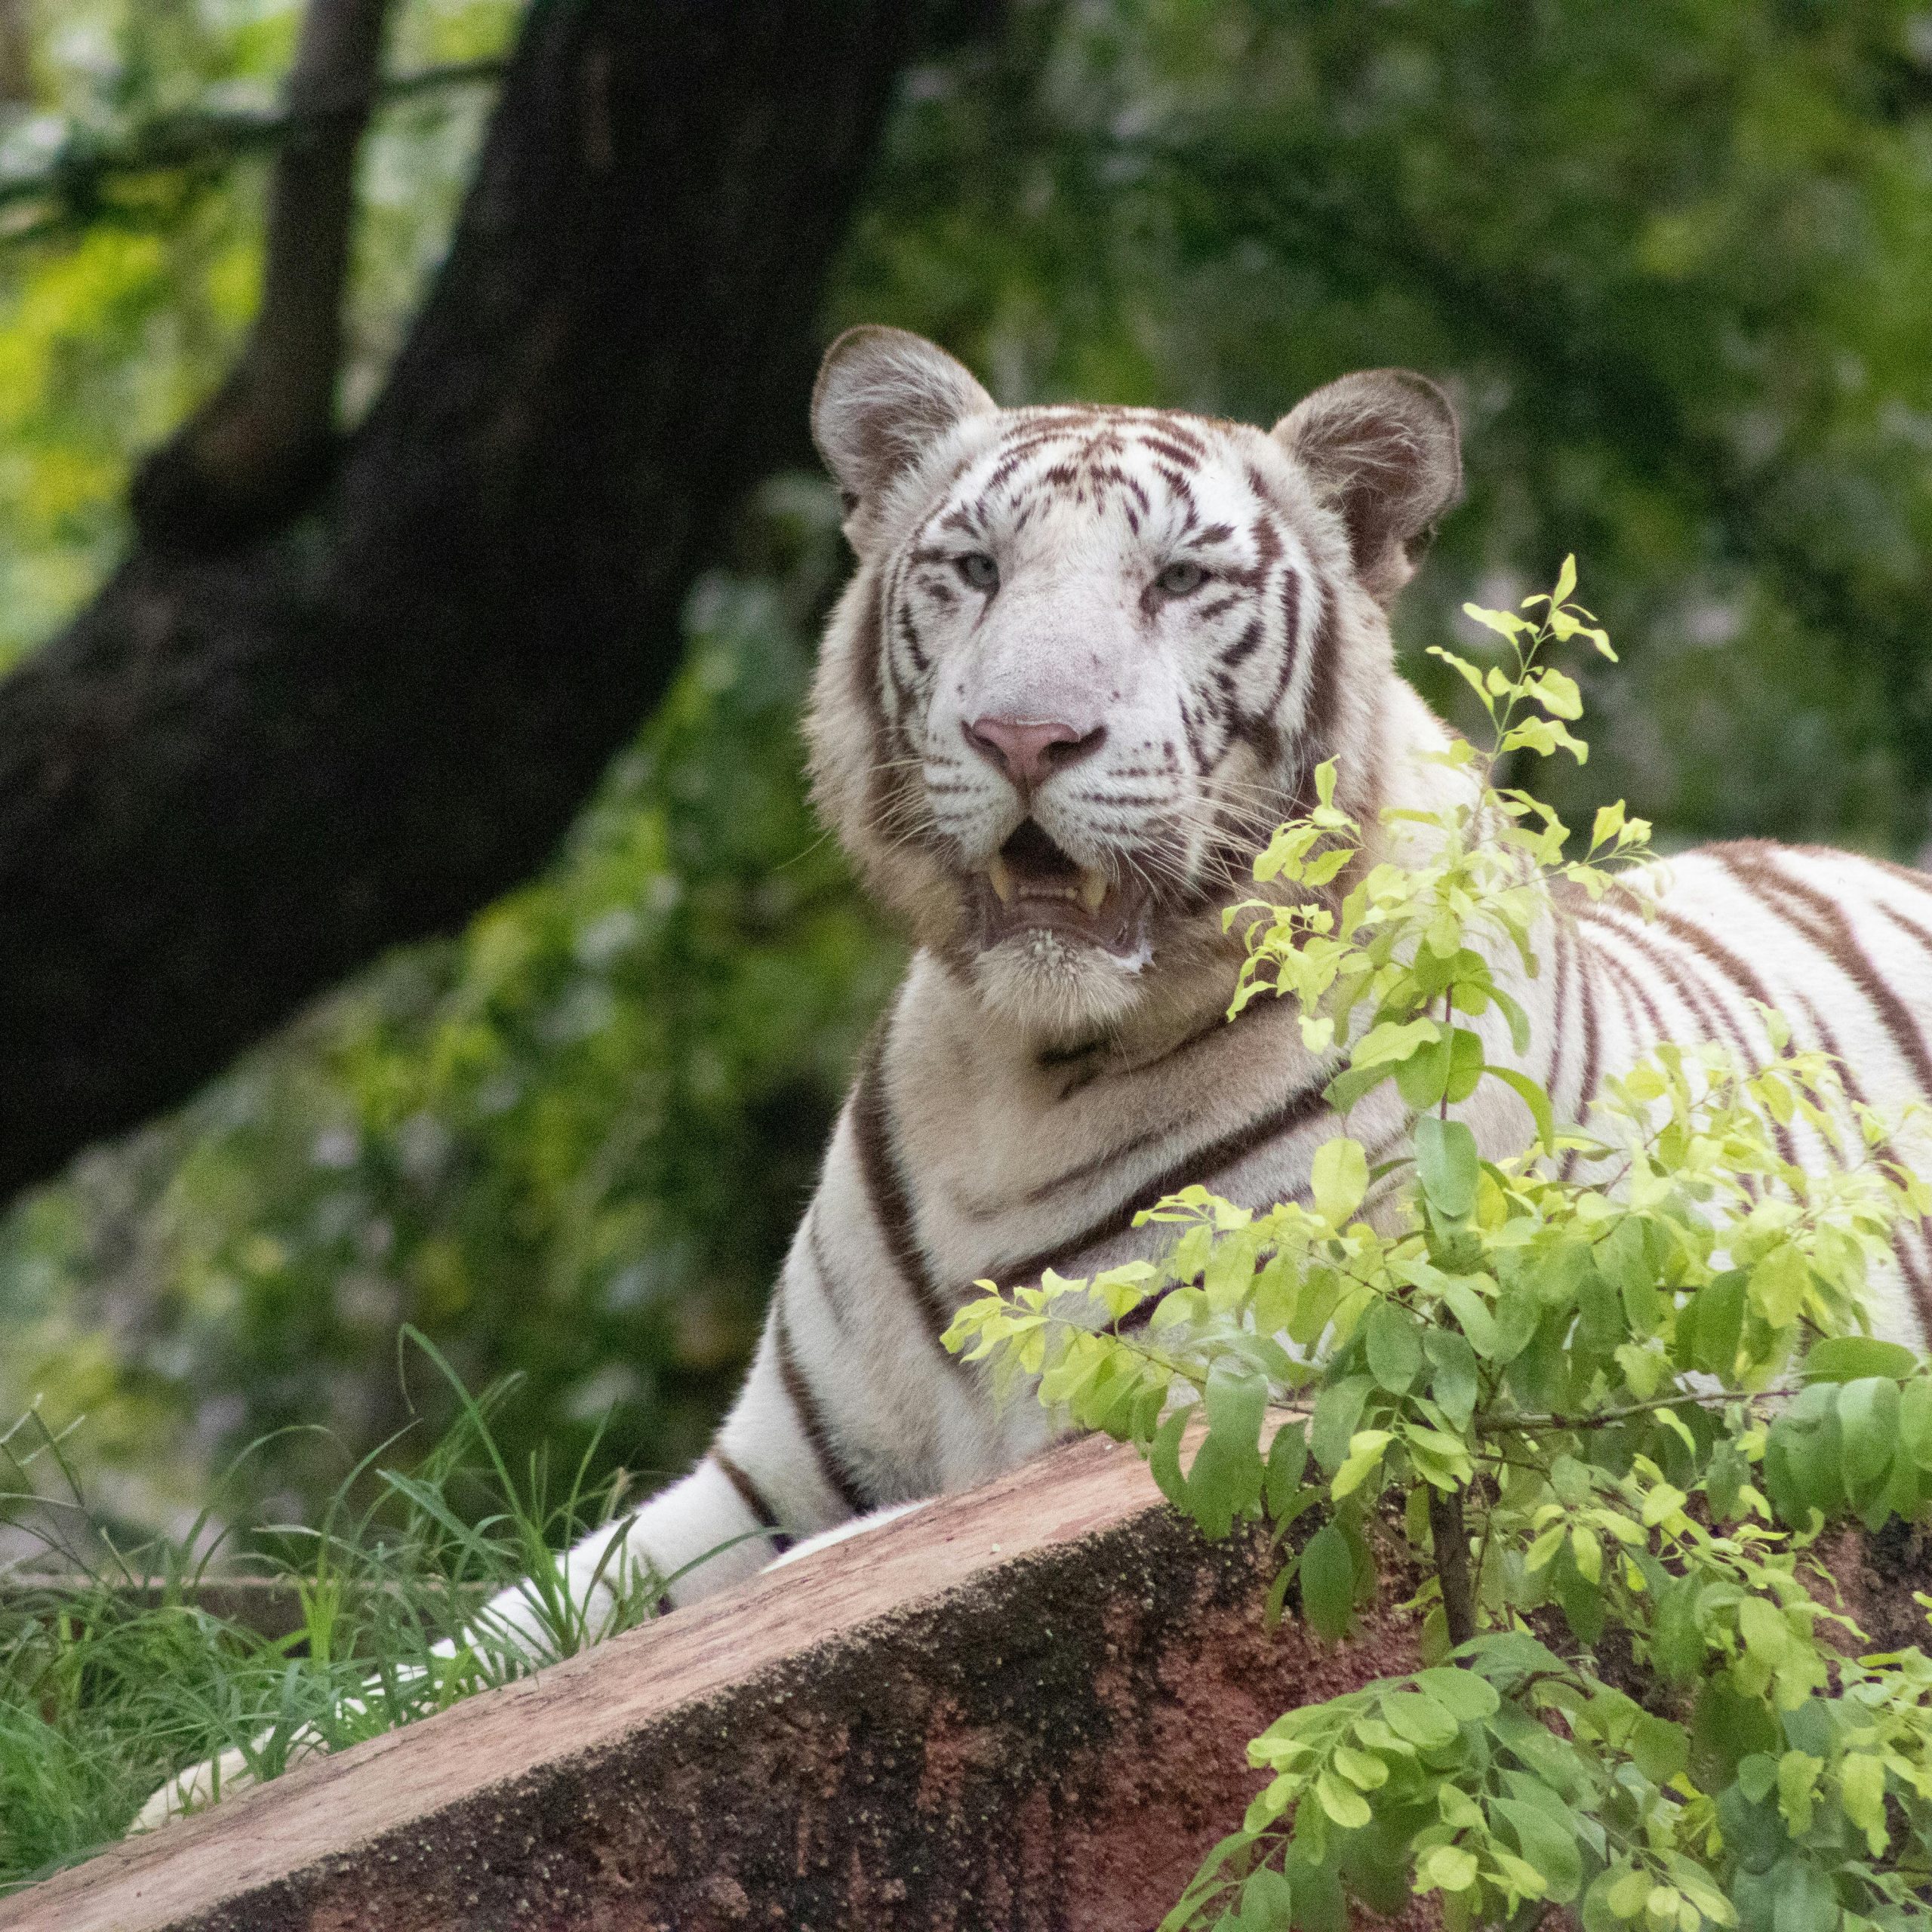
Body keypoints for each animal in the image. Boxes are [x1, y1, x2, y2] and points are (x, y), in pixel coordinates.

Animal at [140, 325, 1932, 1816]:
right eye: (974, 568)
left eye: (1180, 579)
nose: (1022, 737)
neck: (1016, 1069)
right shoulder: (770, 1470)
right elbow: (501, 1637)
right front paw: (207, 1786)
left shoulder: (1191, 1415)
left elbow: (762, 1603)